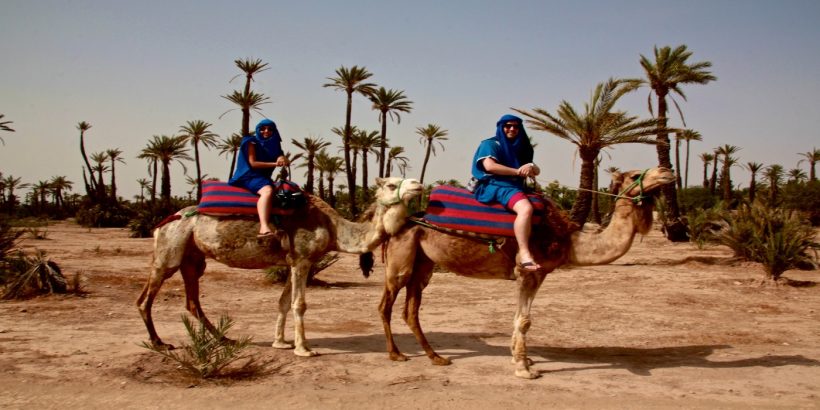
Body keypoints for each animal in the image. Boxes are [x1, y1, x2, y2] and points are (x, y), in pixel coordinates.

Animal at [137, 177, 422, 357]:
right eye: (391, 183)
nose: (418, 184)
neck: (333, 228)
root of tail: (164, 222)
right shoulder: (302, 259)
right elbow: (299, 304)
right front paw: (304, 349)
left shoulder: (293, 261)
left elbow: (283, 302)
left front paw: (280, 343)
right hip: (169, 251)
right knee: (145, 298)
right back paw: (160, 343)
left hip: (192, 258)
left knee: (192, 301)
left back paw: (224, 339)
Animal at [379, 167, 675, 378]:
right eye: (635, 175)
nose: (667, 170)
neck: (567, 240)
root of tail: (404, 222)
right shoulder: (528, 271)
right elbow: (524, 320)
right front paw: (525, 369)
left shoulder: (537, 274)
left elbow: (518, 319)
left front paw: (519, 358)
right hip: (400, 262)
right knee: (386, 304)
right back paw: (396, 355)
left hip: (423, 264)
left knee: (411, 309)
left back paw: (436, 357)